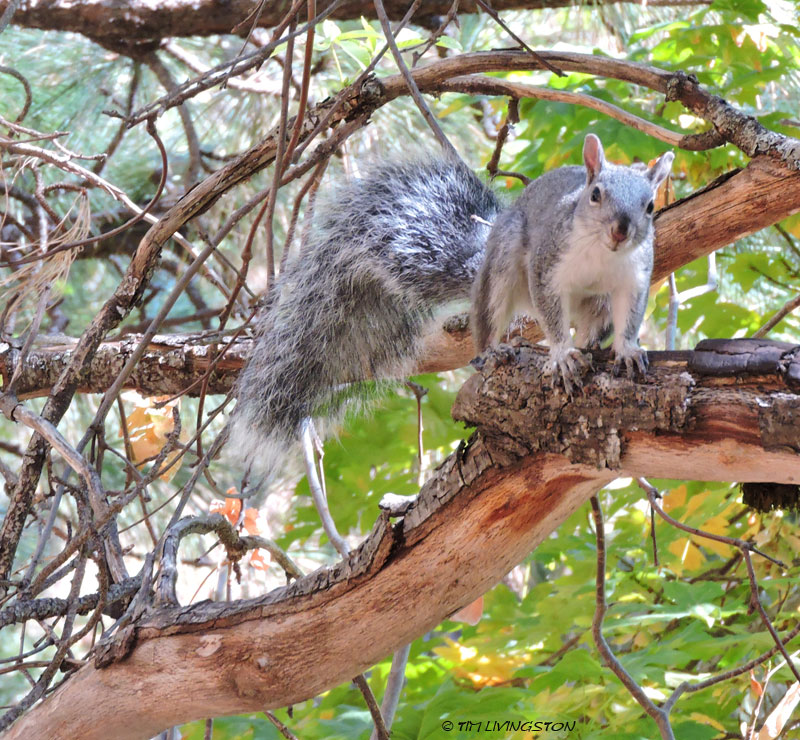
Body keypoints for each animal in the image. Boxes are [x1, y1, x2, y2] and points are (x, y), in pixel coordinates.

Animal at [230, 135, 673, 478]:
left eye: (650, 206)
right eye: (595, 195)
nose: (620, 231)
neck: (602, 255)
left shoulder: (633, 279)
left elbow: (630, 317)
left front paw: (627, 350)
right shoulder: (546, 267)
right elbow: (551, 313)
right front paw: (561, 355)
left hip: (594, 307)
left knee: (592, 323)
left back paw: (590, 346)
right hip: (501, 269)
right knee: (489, 323)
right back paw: (497, 349)